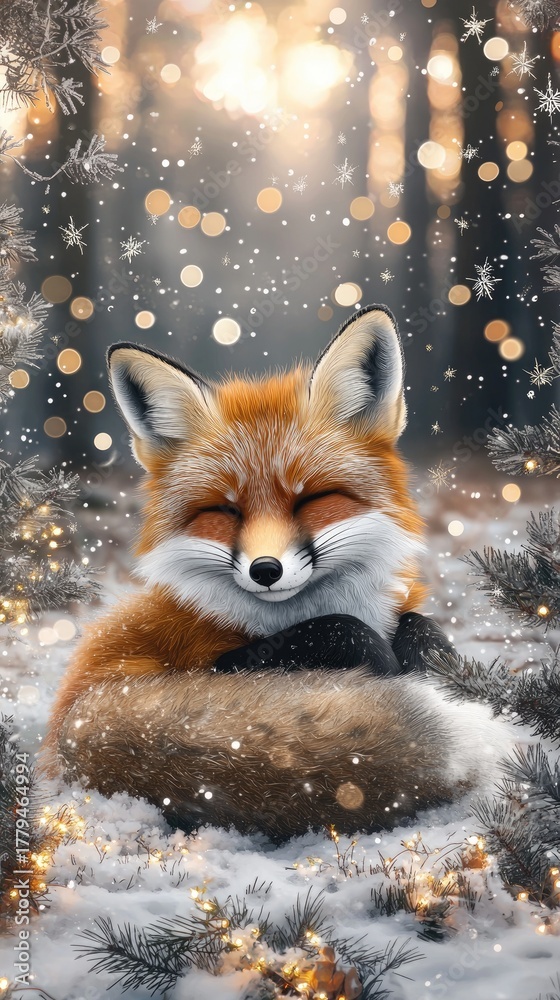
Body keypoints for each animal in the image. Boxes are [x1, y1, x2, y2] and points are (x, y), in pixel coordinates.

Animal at [43, 305, 515, 840]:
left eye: (310, 499)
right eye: (226, 510)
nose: (265, 570)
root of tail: (65, 734)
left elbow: (422, 627)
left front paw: (433, 661)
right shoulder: (208, 657)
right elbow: (347, 632)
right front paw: (388, 663)